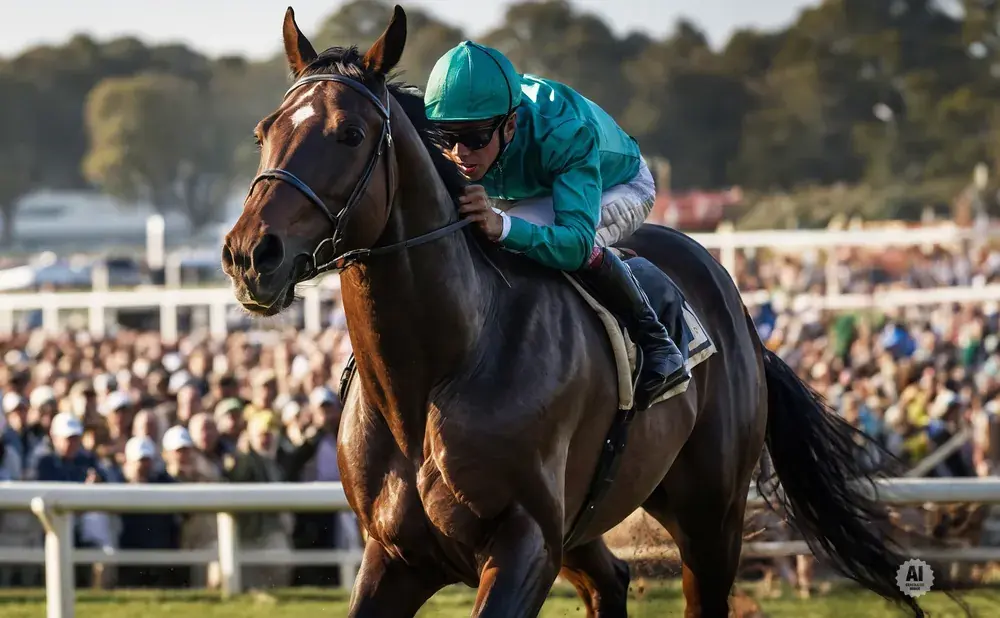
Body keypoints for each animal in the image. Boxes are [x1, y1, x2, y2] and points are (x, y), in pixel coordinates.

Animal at [221, 6, 928, 616]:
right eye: (264, 131)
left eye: (349, 134)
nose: (250, 254)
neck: (434, 375)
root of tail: (742, 319)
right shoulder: (395, 555)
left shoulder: (525, 542)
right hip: (588, 523)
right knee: (610, 579)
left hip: (711, 516)